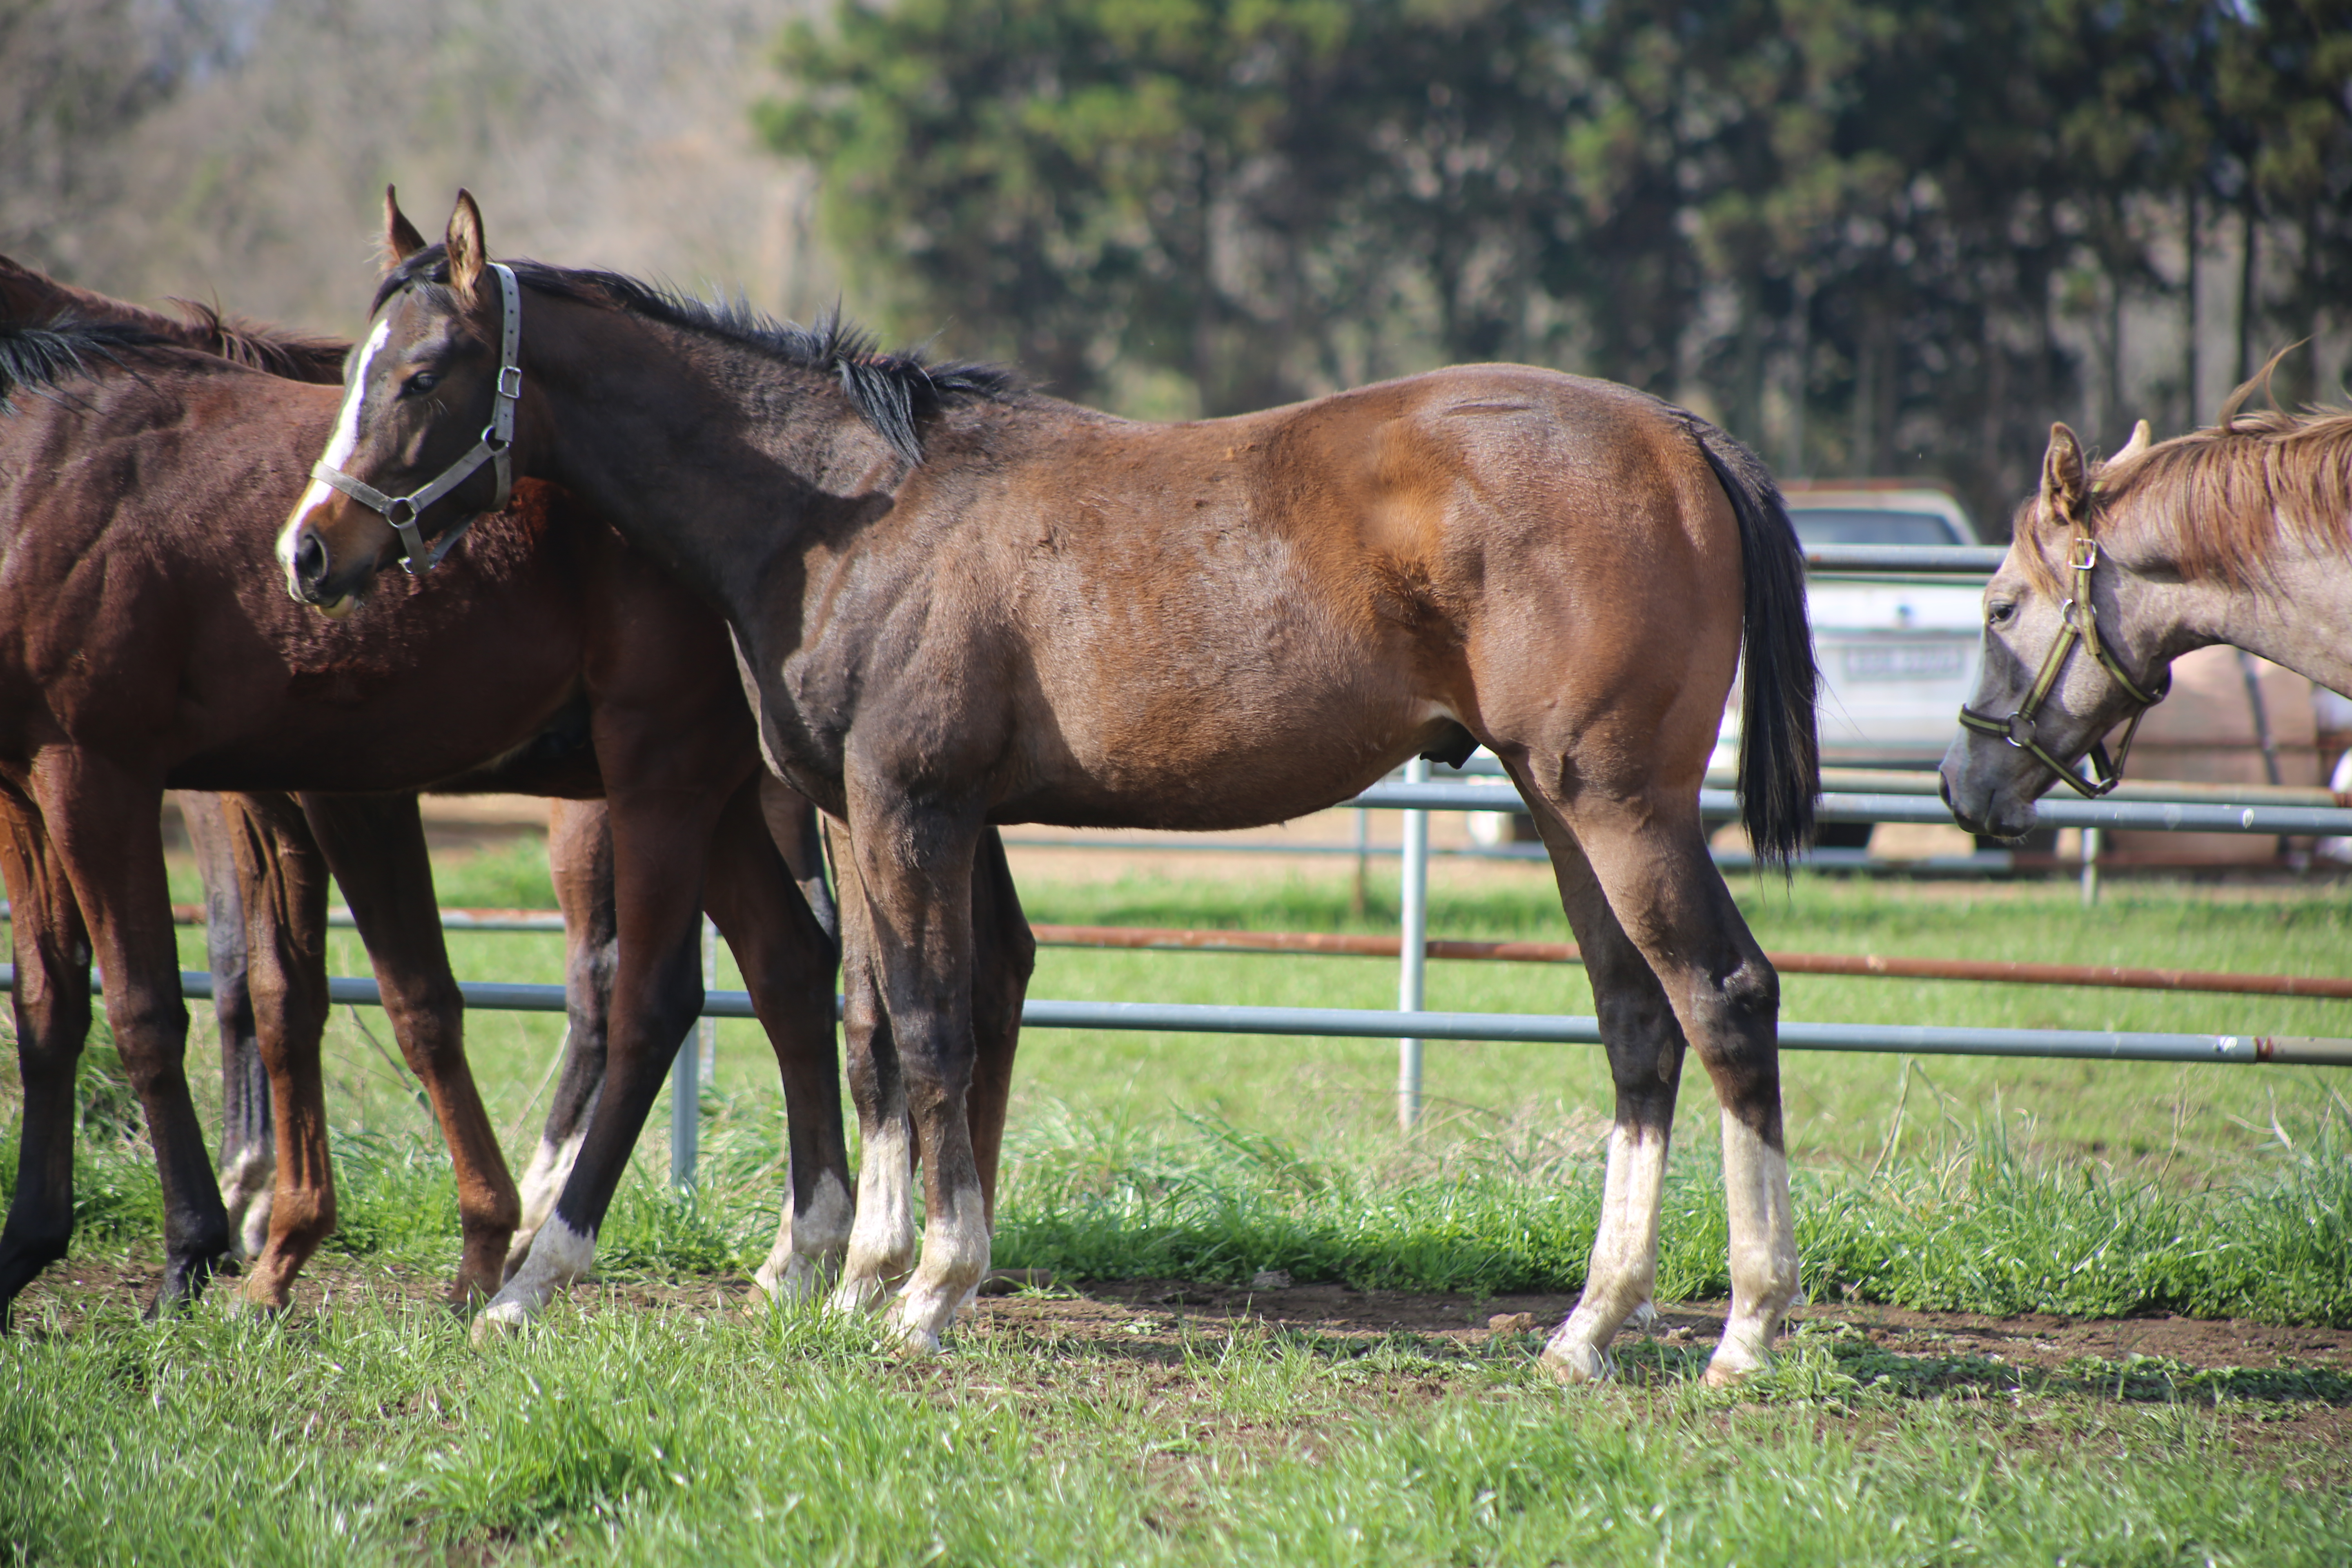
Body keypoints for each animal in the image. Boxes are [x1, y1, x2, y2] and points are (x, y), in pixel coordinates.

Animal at [0, 240, 1030, 1335]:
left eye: (419, 382)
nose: (306, 555)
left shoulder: (147, 771)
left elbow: (263, 1000)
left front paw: (224, 1249)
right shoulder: (92, 788)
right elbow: (159, 995)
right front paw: (224, 1246)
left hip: (680, 782)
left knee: (678, 990)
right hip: (738, 799)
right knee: (810, 969)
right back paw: (832, 1249)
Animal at [275, 193, 1815, 1382]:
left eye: (422, 374)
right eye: (360, 367)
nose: (309, 549)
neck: (849, 509)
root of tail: (1679, 435)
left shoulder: (915, 807)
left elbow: (935, 1029)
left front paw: (927, 1292)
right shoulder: (871, 815)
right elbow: (875, 1026)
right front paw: (870, 1276)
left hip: (1620, 806)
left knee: (1724, 997)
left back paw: (1747, 1329)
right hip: (1560, 807)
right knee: (1637, 1023)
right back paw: (1590, 1327)